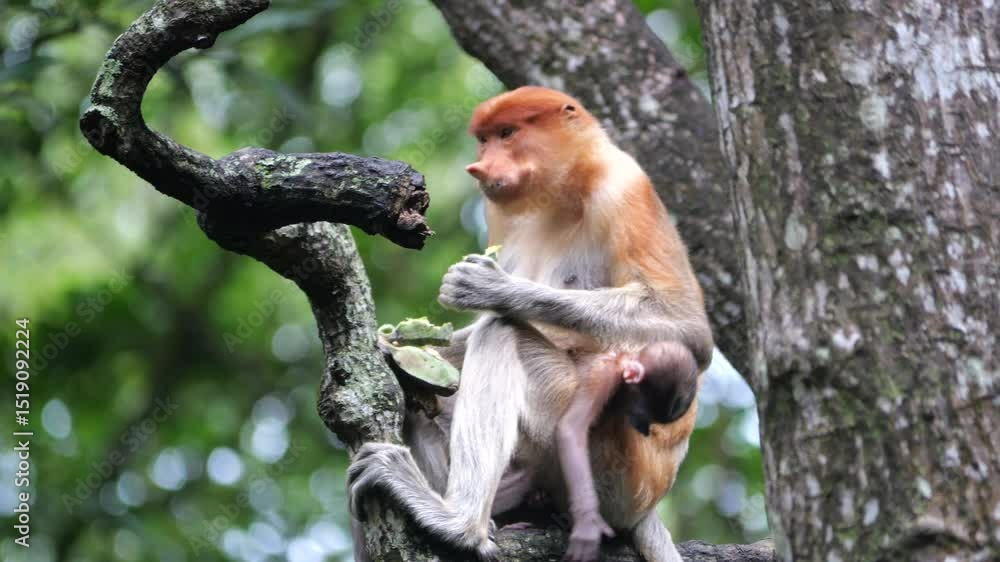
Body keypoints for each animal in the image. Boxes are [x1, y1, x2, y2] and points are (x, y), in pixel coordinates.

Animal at [347, 86, 713, 561]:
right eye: (484, 140)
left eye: (507, 133)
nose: (479, 166)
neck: (559, 193)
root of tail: (647, 504)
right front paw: (395, 349)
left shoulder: (625, 187)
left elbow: (687, 326)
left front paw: (487, 285)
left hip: (606, 465)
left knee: (502, 335)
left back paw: (457, 524)